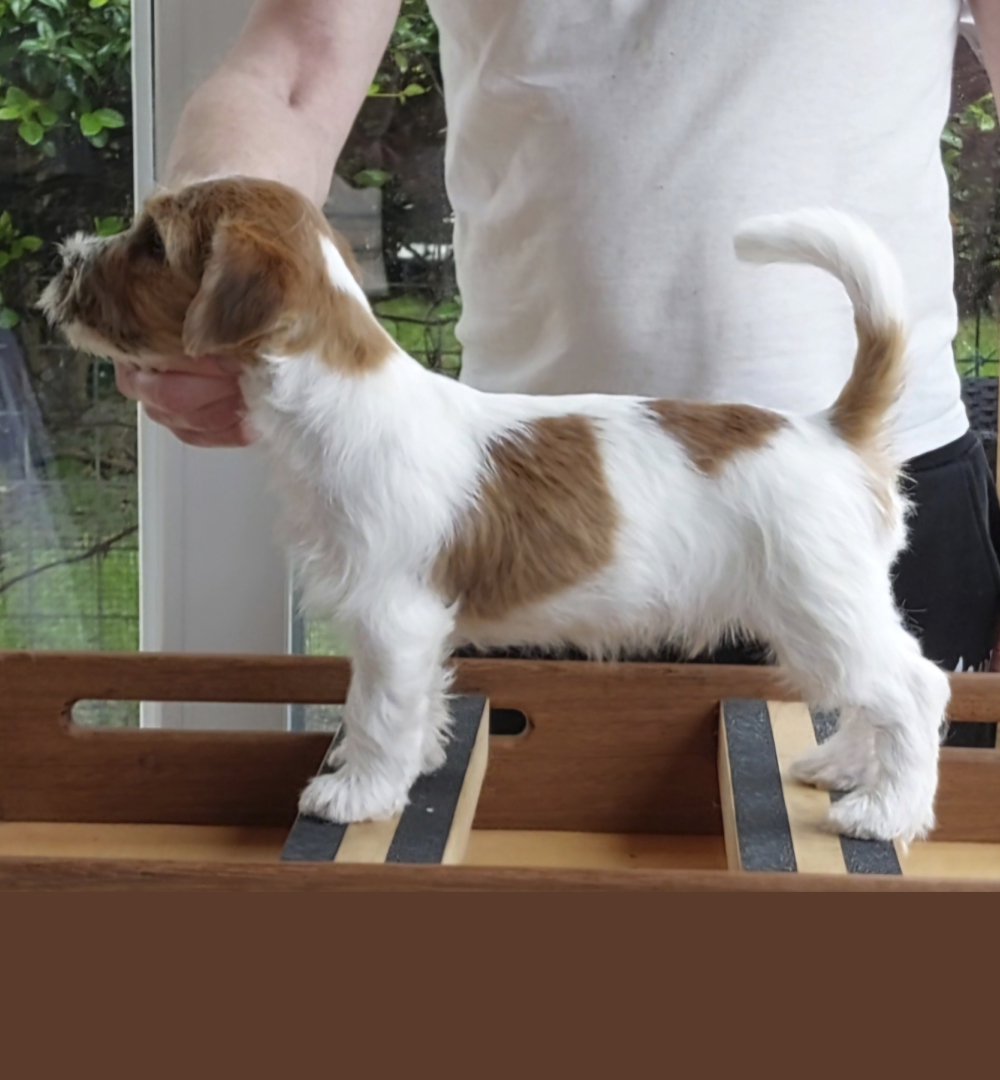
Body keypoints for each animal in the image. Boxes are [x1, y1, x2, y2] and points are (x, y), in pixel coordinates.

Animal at [43, 174, 950, 842]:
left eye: (152, 243)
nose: (63, 263)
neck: (338, 397)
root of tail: (831, 429)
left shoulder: (392, 614)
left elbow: (375, 708)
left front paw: (359, 792)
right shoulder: (399, 624)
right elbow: (405, 703)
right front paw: (409, 765)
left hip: (819, 604)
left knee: (915, 688)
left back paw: (886, 809)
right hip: (828, 615)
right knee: (873, 692)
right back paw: (844, 768)